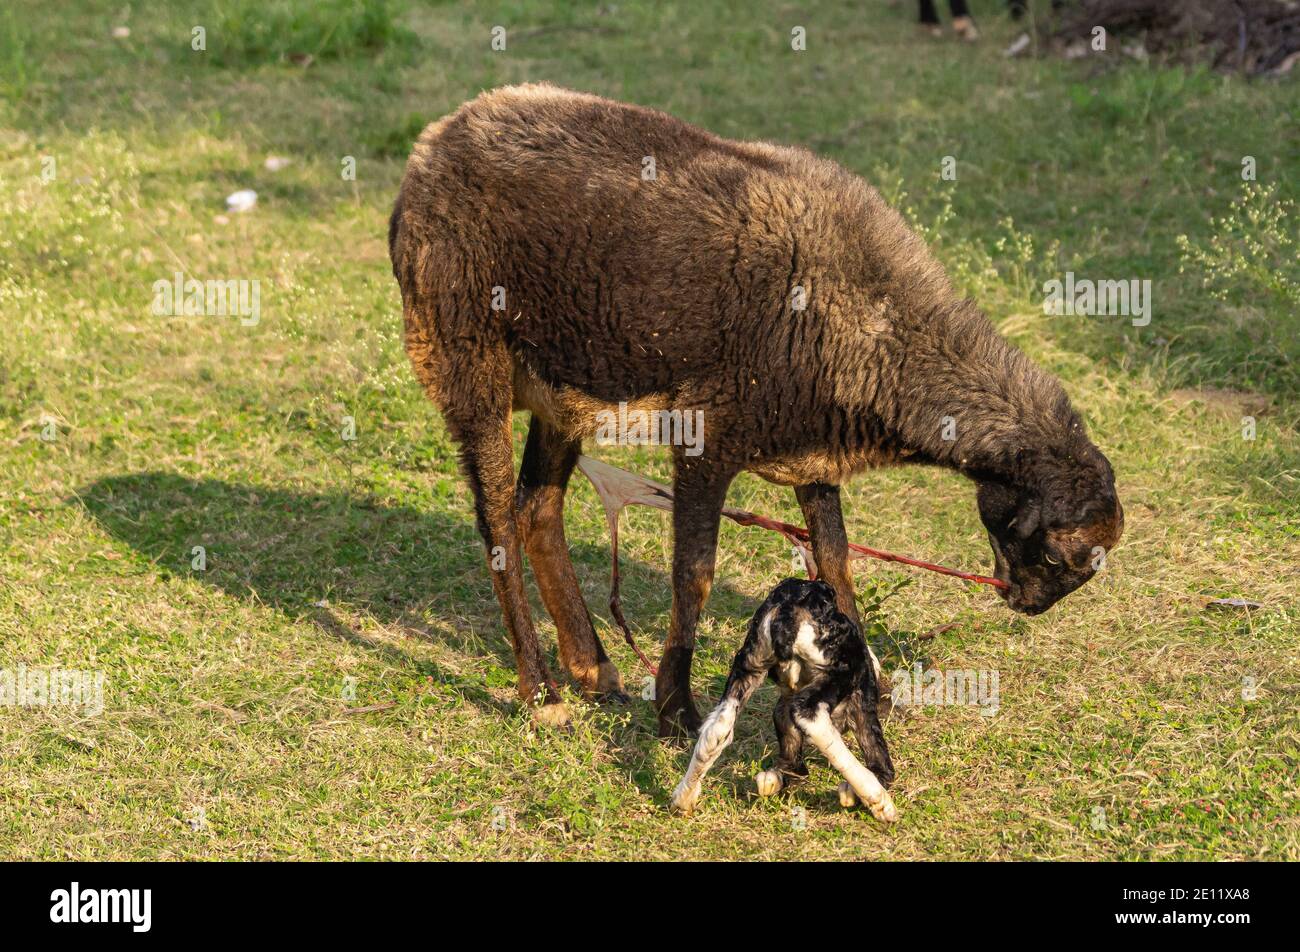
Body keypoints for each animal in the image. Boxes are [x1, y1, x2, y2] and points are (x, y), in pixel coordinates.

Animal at [382, 83, 1118, 738]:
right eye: (1061, 558)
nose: (1027, 606)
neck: (876, 323)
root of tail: (429, 150)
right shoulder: (707, 440)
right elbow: (695, 576)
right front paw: (676, 712)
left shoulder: (814, 458)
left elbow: (836, 561)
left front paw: (867, 687)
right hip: (467, 359)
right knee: (498, 523)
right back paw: (542, 696)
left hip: (561, 387)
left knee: (538, 508)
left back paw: (592, 669)